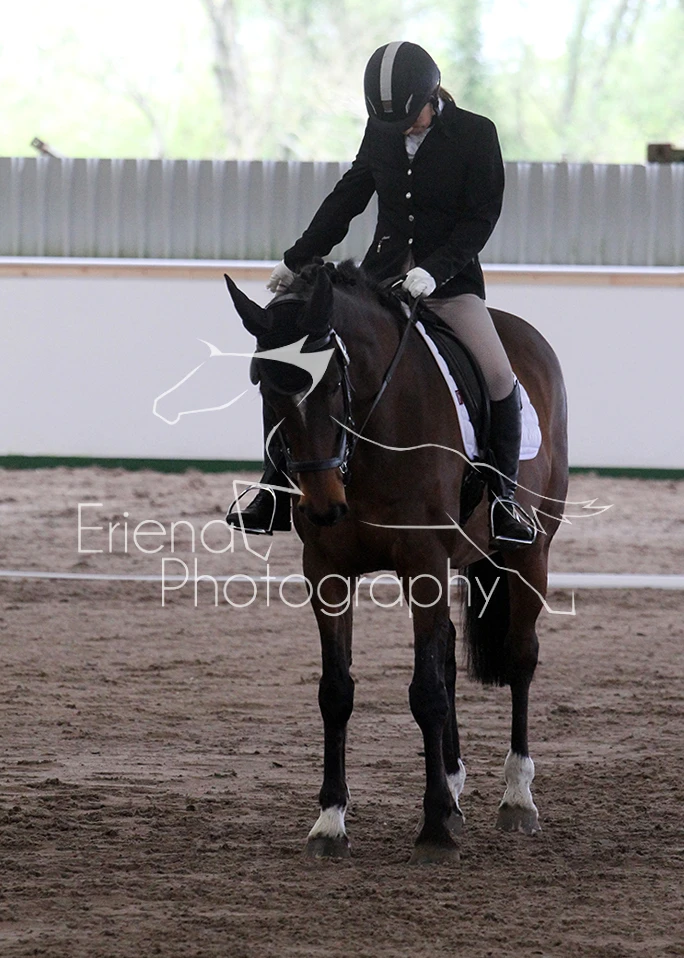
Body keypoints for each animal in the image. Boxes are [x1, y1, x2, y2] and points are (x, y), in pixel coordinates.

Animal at [224, 261, 568, 864]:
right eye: (265, 387)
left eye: (332, 383)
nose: (323, 505)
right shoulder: (326, 571)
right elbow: (337, 691)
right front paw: (330, 822)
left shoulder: (424, 562)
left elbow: (425, 692)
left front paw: (433, 830)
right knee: (449, 653)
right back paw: (453, 787)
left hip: (531, 552)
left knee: (520, 655)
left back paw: (517, 797)